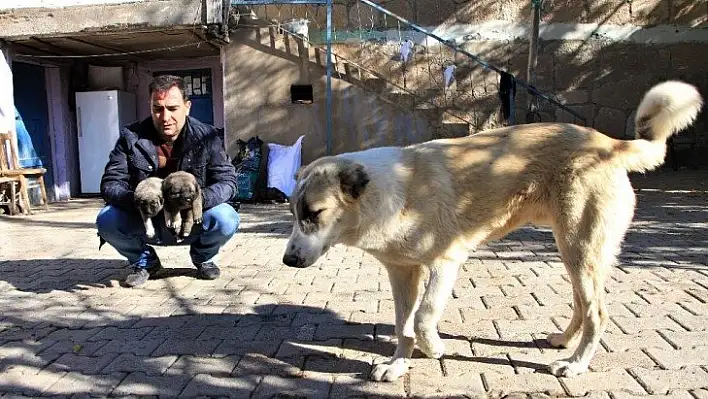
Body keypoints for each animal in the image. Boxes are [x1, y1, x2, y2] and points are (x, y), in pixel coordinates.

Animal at [280, 80, 704, 382]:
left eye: (315, 213)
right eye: (292, 212)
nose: (288, 260)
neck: (389, 193)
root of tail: (607, 142)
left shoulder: (446, 262)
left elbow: (423, 316)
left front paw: (433, 349)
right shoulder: (402, 272)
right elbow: (403, 325)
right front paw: (398, 365)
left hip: (580, 249)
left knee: (597, 311)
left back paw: (576, 364)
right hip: (574, 252)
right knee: (582, 304)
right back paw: (563, 341)